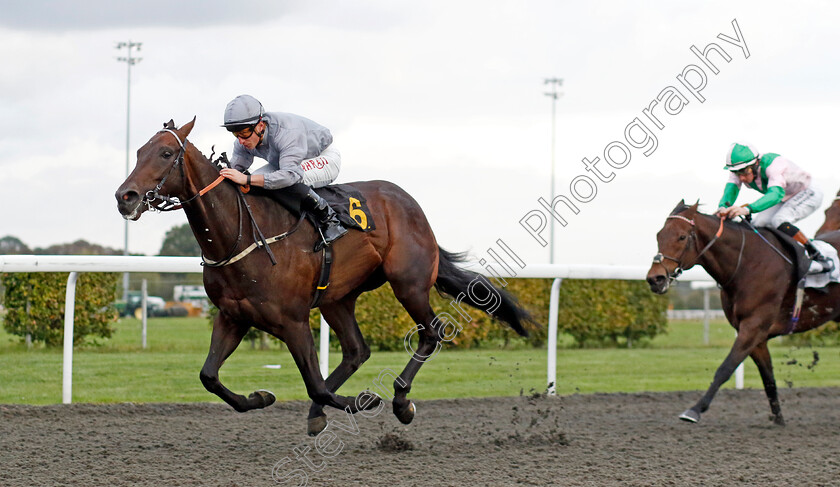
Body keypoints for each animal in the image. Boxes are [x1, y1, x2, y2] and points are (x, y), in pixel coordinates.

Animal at [115, 120, 536, 436]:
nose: (125, 196)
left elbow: (314, 383)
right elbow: (209, 376)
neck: (242, 233)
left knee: (430, 334)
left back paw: (401, 401)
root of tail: (409, 202)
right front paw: (260, 398)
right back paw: (320, 413)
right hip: (338, 298)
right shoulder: (233, 316)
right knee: (356, 350)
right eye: (137, 153)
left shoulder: (293, 320)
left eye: (165, 154)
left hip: (409, 283)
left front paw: (365, 400)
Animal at [648, 200, 840, 426]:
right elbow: (768, 378)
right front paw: (779, 420)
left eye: (681, 237)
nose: (655, 279)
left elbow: (726, 368)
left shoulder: (753, 327)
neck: (747, 263)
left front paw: (694, 410)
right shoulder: (756, 336)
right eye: (659, 235)